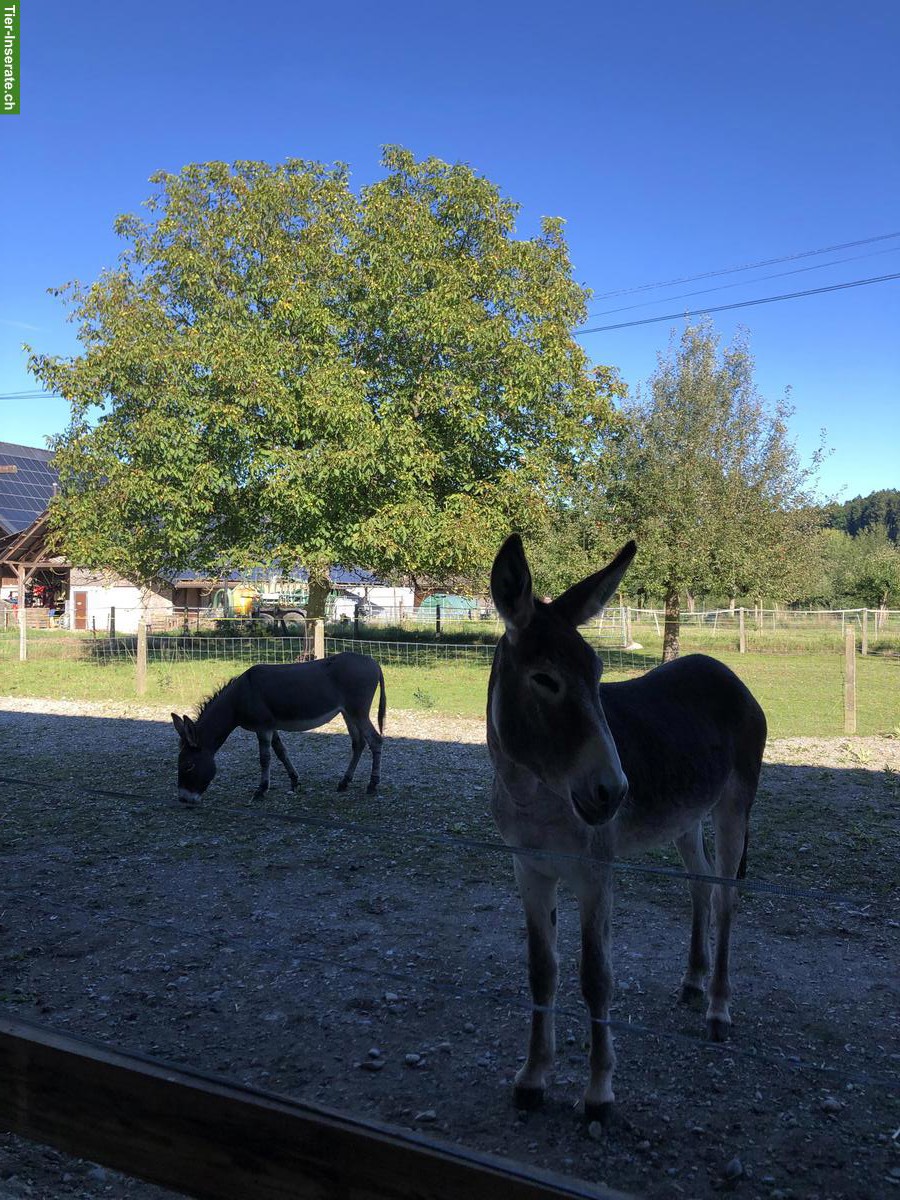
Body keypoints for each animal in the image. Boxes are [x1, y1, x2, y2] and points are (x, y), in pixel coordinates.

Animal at [171, 652, 386, 804]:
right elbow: (281, 751)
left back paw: (372, 784)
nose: (184, 799)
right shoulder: (270, 726)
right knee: (358, 743)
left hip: (357, 711)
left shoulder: (262, 727)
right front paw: (294, 781)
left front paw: (261, 790)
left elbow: (265, 758)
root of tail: (374, 663)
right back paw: (344, 782)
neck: (238, 699)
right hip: (347, 713)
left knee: (375, 740)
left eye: (188, 765)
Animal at [487, 535, 766, 1123]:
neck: (535, 794)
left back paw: (718, 1009)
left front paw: (597, 1093)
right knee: (700, 885)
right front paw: (532, 1078)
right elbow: (541, 970)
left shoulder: (596, 875)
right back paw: (692, 982)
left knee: (725, 897)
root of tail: (723, 670)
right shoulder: (529, 870)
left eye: (596, 676)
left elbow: (597, 978)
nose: (613, 793)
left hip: (734, 805)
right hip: (686, 816)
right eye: (544, 679)